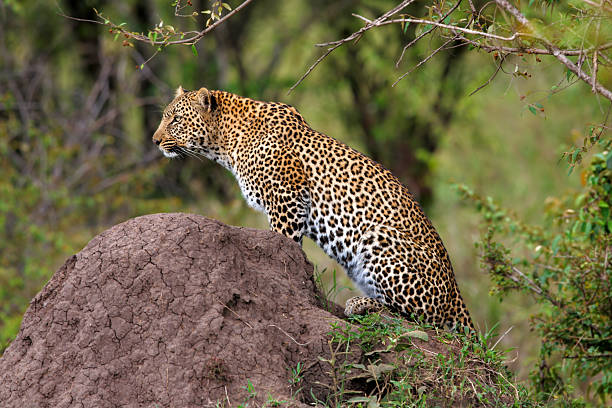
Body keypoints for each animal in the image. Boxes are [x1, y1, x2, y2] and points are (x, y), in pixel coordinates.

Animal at [152, 87, 474, 332]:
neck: (227, 142)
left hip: (379, 237)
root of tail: (456, 294)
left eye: (176, 120)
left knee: (422, 318)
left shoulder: (287, 199)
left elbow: (285, 243)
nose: (155, 141)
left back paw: (359, 304)